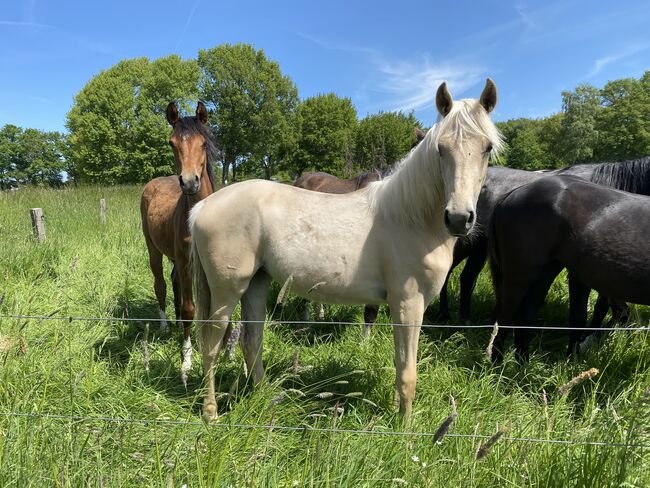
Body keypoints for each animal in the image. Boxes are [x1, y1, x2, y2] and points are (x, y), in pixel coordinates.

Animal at [140, 102, 218, 386]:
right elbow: (189, 308)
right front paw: (186, 362)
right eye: (171, 143)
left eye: (203, 143)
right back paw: (165, 324)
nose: (189, 182)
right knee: (161, 284)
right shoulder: (186, 263)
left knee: (172, 281)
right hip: (153, 248)